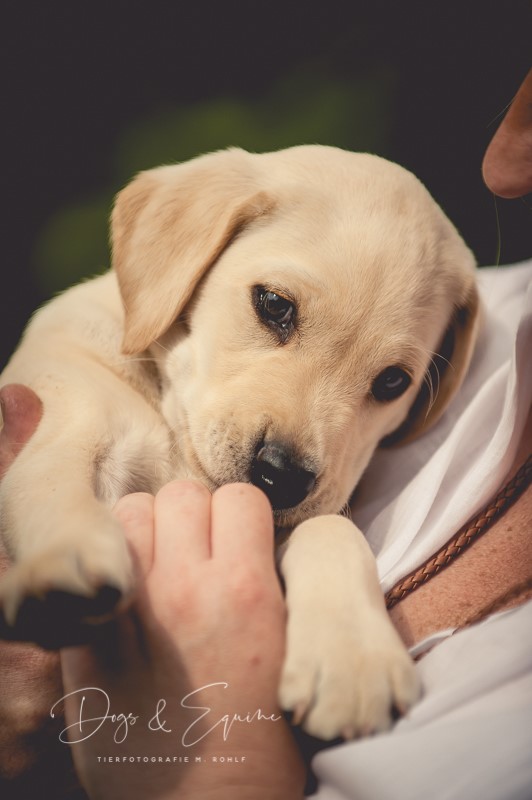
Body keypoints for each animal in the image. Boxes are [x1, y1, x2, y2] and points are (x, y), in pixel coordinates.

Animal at [0, 145, 478, 736]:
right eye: (274, 304)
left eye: (393, 382)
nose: (282, 477)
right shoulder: (68, 417)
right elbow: (51, 486)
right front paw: (63, 566)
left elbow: (330, 529)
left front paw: (352, 657)